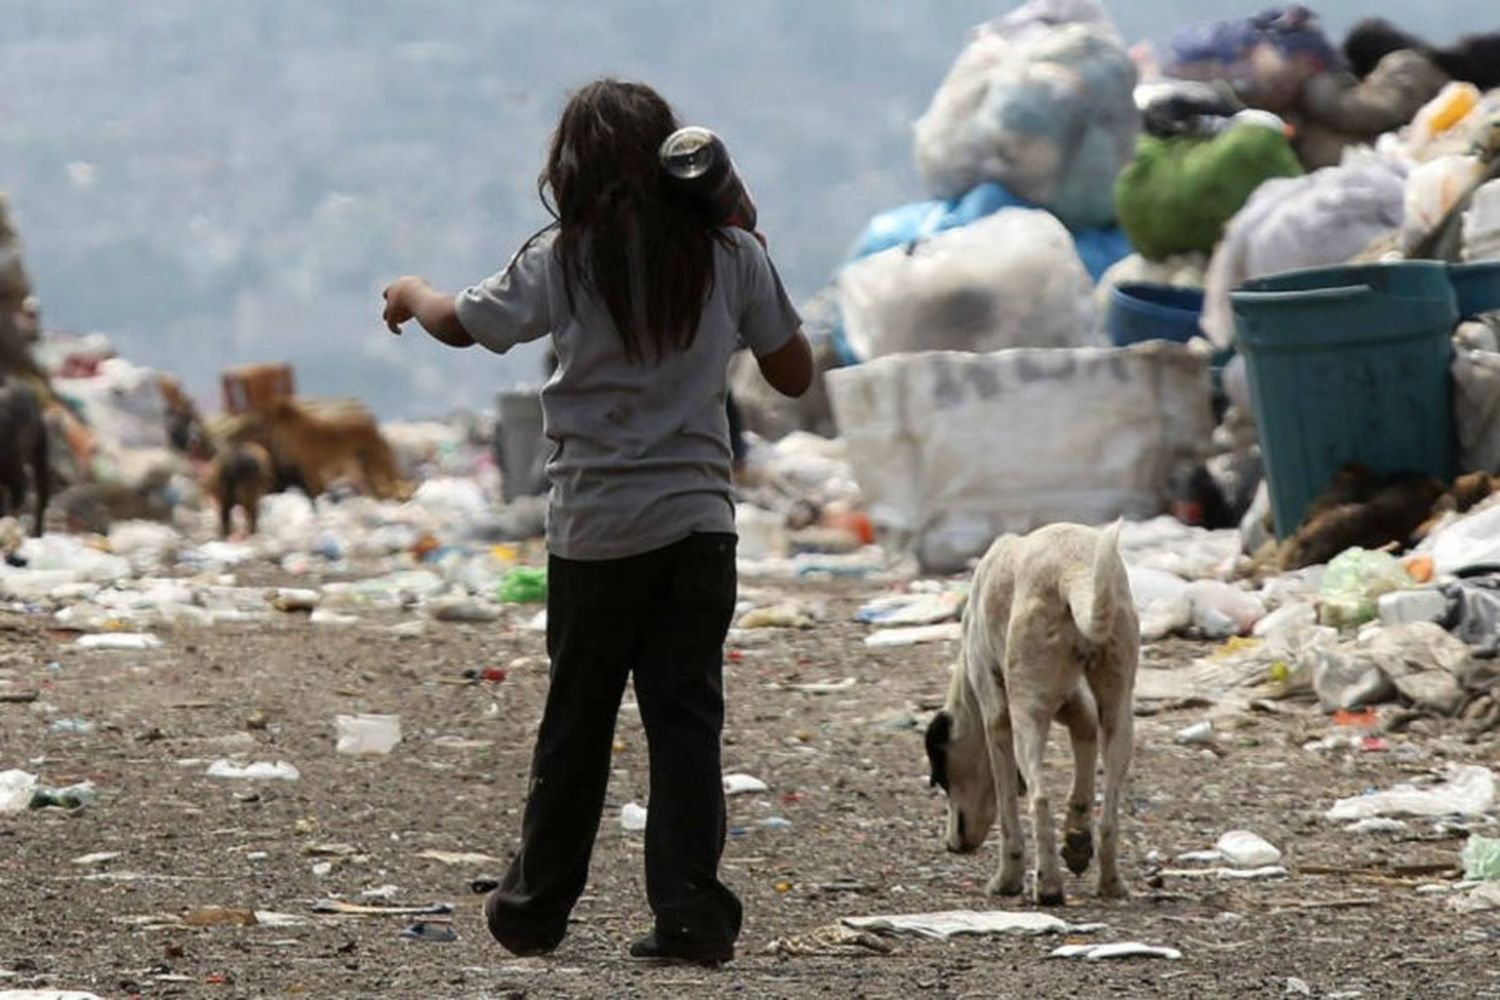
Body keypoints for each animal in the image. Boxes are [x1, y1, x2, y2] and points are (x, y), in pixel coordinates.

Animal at [924, 524, 1134, 905]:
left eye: (942, 778)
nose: (951, 846)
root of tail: (1073, 570)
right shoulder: (1075, 706)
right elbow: (1084, 746)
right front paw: (1077, 839)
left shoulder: (997, 720)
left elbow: (1008, 808)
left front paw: (1008, 879)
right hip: (1119, 713)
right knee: (1109, 813)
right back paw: (1110, 883)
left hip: (1027, 716)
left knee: (1039, 798)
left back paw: (1048, 884)